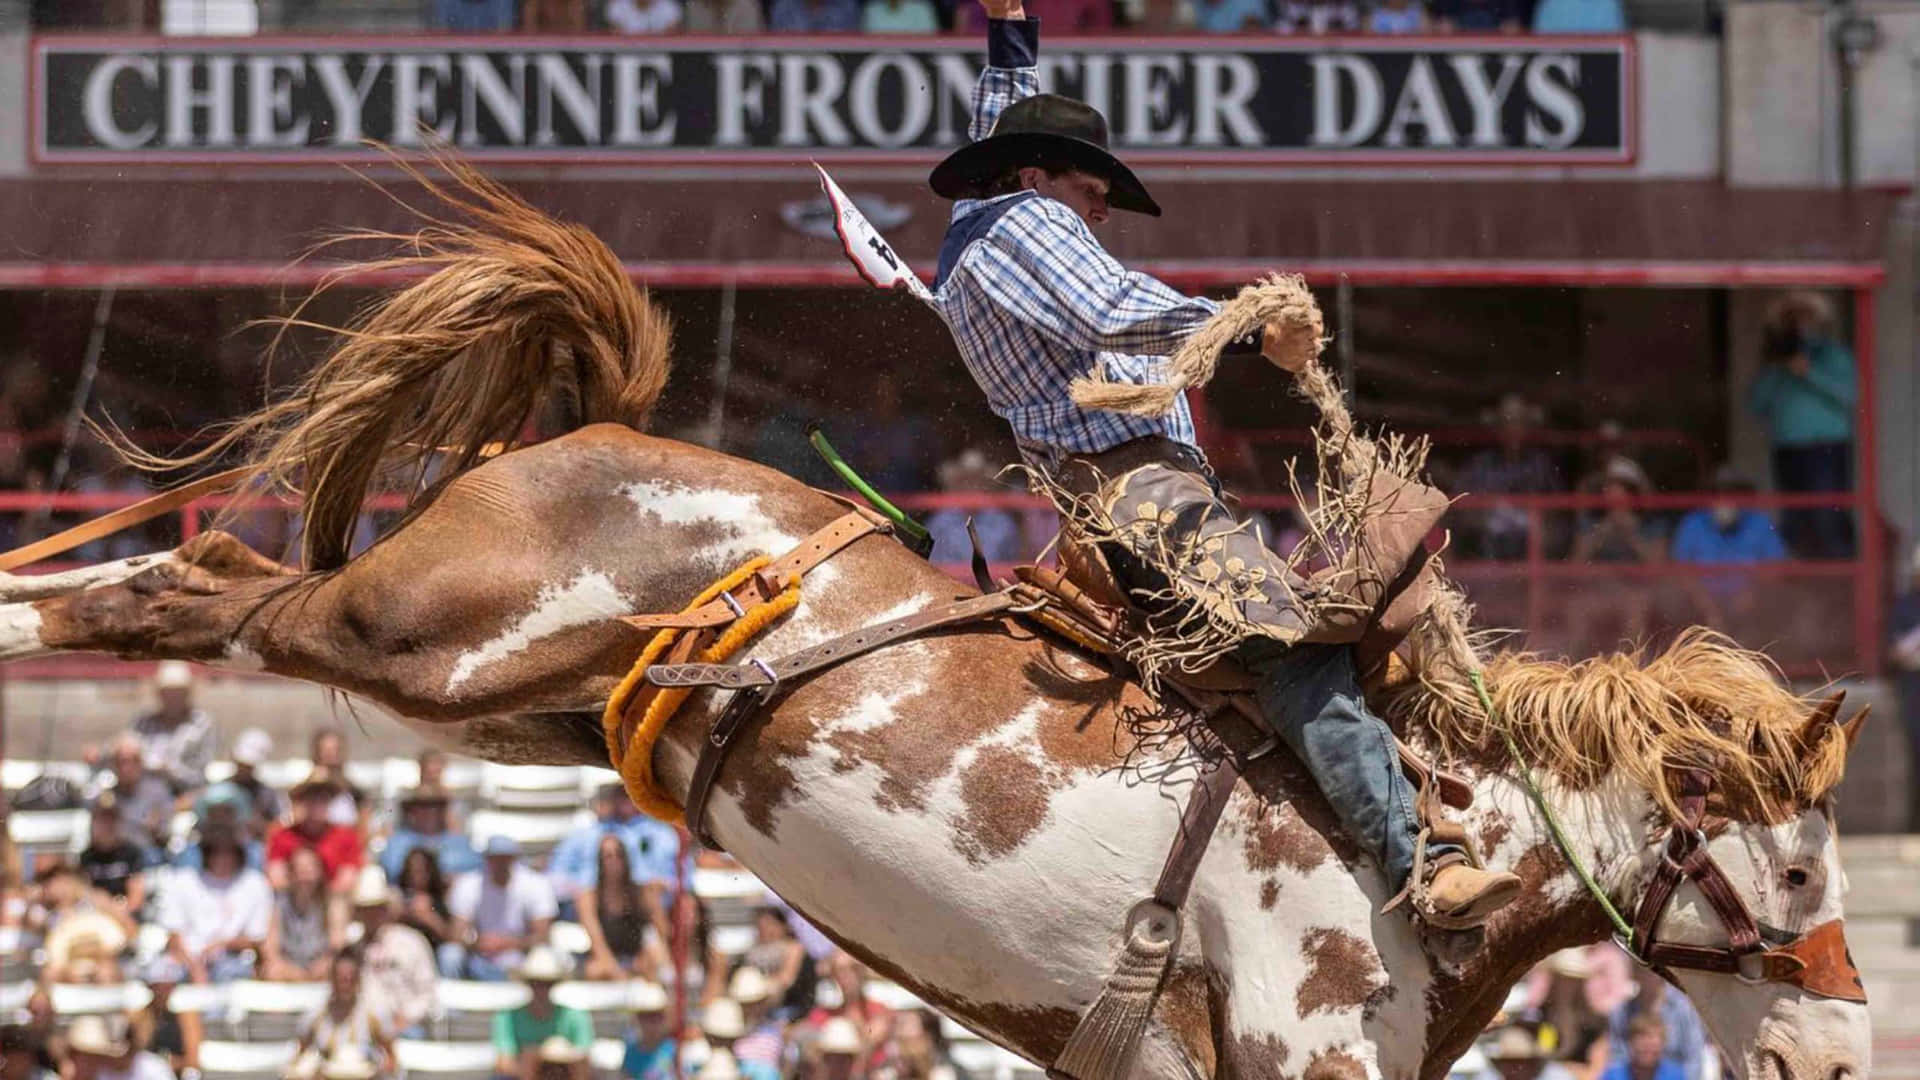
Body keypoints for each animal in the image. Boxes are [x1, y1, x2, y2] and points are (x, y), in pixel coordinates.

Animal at [0, 162, 1872, 1080]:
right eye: (1794, 872)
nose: (1843, 1056)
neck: (1448, 821)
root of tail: (583, 431)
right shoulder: (1298, 1042)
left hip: (507, 702)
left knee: (212, 593)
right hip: (423, 632)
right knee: (193, 583)